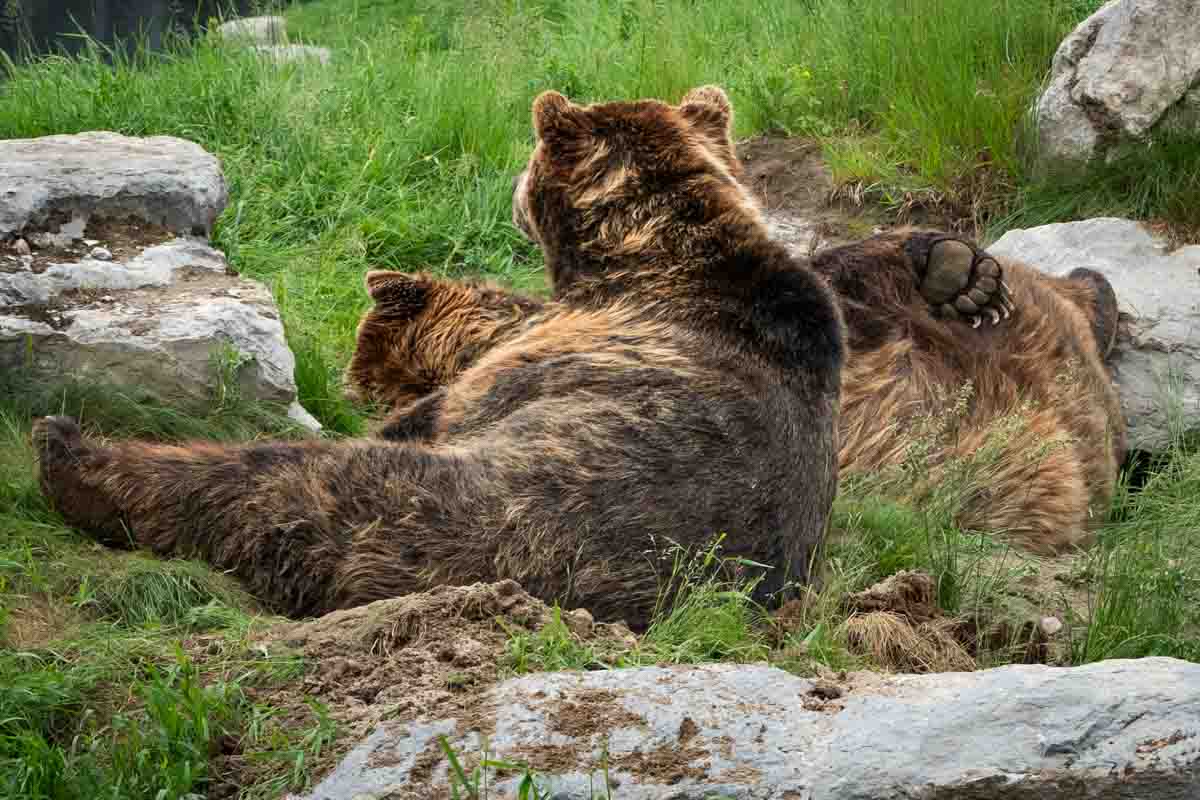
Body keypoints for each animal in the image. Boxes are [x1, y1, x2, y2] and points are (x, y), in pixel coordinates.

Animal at [34, 86, 851, 630]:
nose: (512, 191)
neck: (650, 254)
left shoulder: (540, 358)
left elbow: (440, 404)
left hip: (455, 508)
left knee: (270, 483)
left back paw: (74, 451)